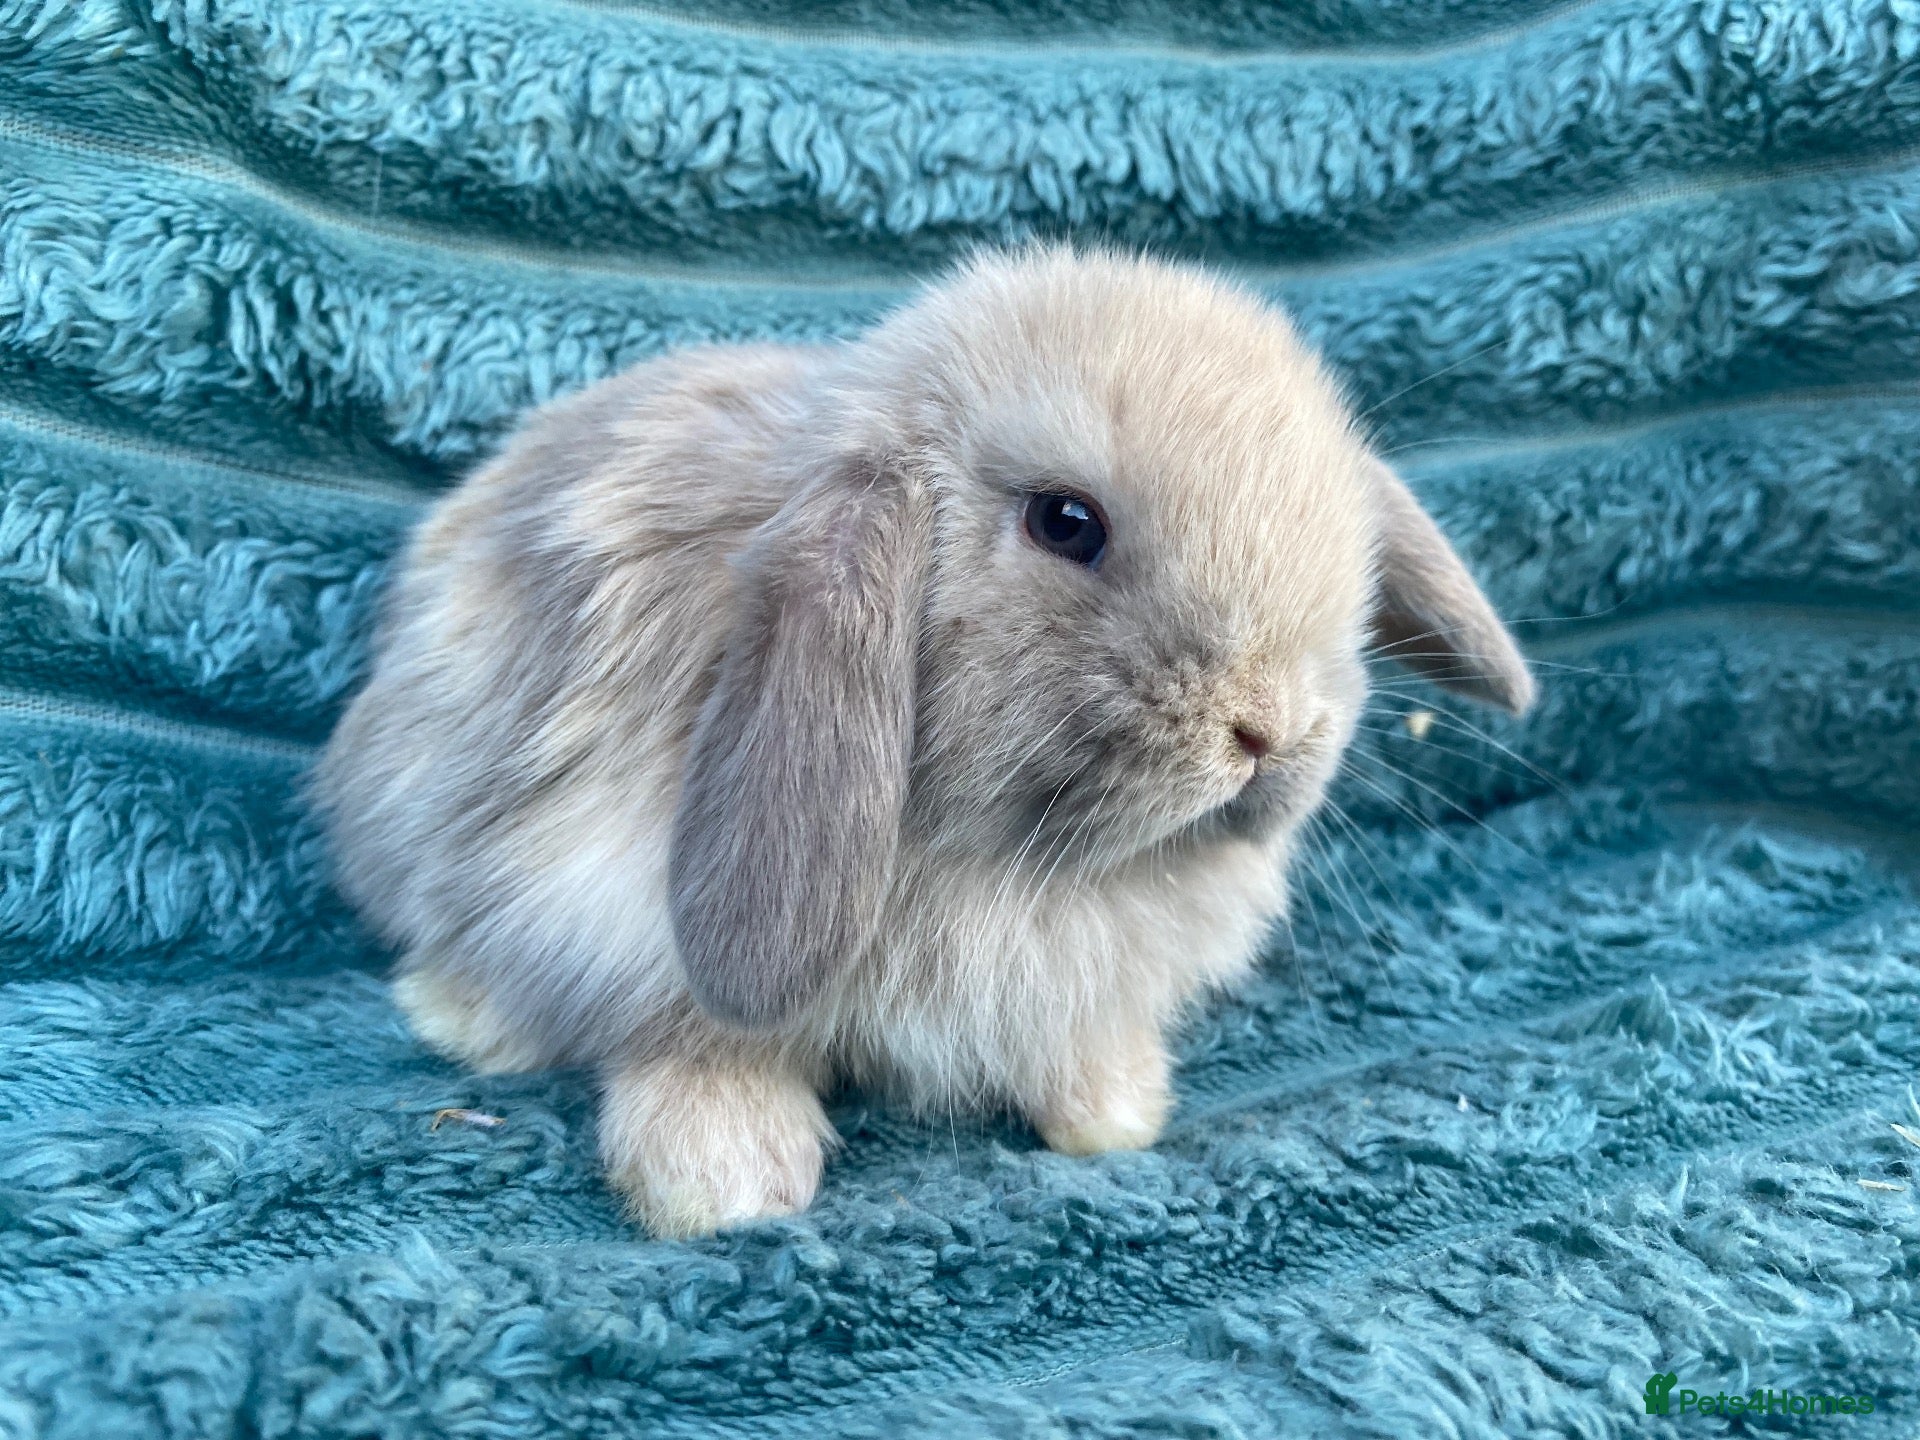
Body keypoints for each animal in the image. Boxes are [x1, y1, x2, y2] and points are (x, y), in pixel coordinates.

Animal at [313, 245, 1534, 1239]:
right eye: (1065, 522)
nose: (1271, 728)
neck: (1006, 862)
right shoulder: (608, 909)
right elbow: (698, 1047)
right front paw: (724, 1186)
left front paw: (1117, 1114)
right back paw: (464, 1020)